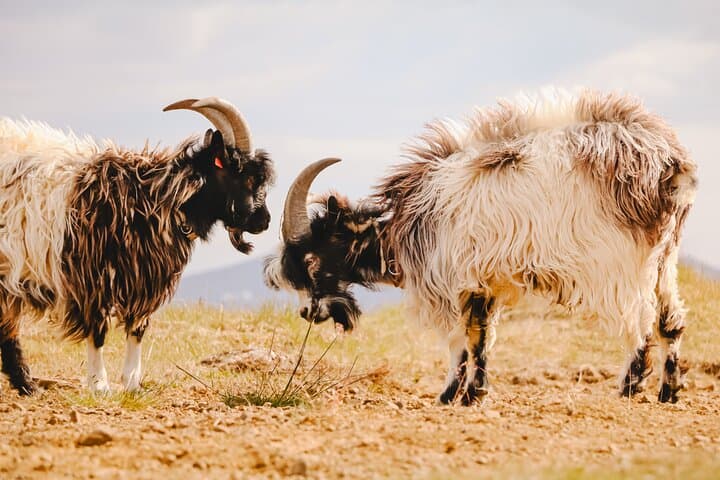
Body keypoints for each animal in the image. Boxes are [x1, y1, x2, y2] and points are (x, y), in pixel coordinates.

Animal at [0, 97, 274, 394]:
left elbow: (137, 329)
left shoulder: (143, 281)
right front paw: (100, 385)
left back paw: (26, 385)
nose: (265, 221)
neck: (156, 197)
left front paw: (131, 383)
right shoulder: (94, 278)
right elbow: (98, 330)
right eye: (245, 177)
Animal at [264, 90, 697, 405]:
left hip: (621, 264)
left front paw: (448, 396)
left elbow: (459, 341)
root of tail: (669, 165)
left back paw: (629, 386)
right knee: (670, 319)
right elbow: (481, 339)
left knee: (639, 322)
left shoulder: (450, 282)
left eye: (312, 258)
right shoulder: (483, 283)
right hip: (665, 258)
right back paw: (668, 392)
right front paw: (474, 393)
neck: (405, 227)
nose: (308, 312)